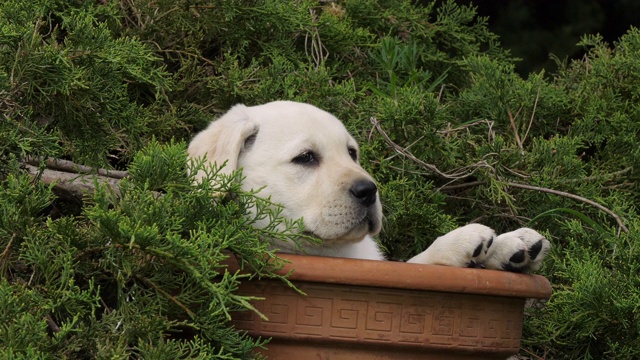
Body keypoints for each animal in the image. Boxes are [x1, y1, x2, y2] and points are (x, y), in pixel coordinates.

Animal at [186, 100, 552, 272]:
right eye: (305, 158)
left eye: (352, 153)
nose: (369, 190)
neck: (336, 253)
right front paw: (464, 241)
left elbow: (414, 263)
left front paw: (508, 245)